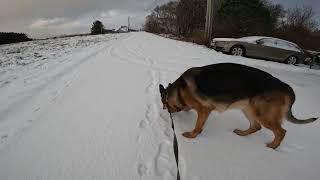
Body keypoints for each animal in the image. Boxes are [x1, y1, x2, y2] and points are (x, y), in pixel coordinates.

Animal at [159, 63, 316, 149]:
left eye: (164, 104)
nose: (165, 112)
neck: (178, 90)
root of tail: (288, 88)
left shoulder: (204, 110)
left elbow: (198, 126)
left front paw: (192, 136)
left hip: (262, 115)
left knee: (281, 131)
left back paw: (273, 146)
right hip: (248, 109)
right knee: (256, 126)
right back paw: (242, 133)